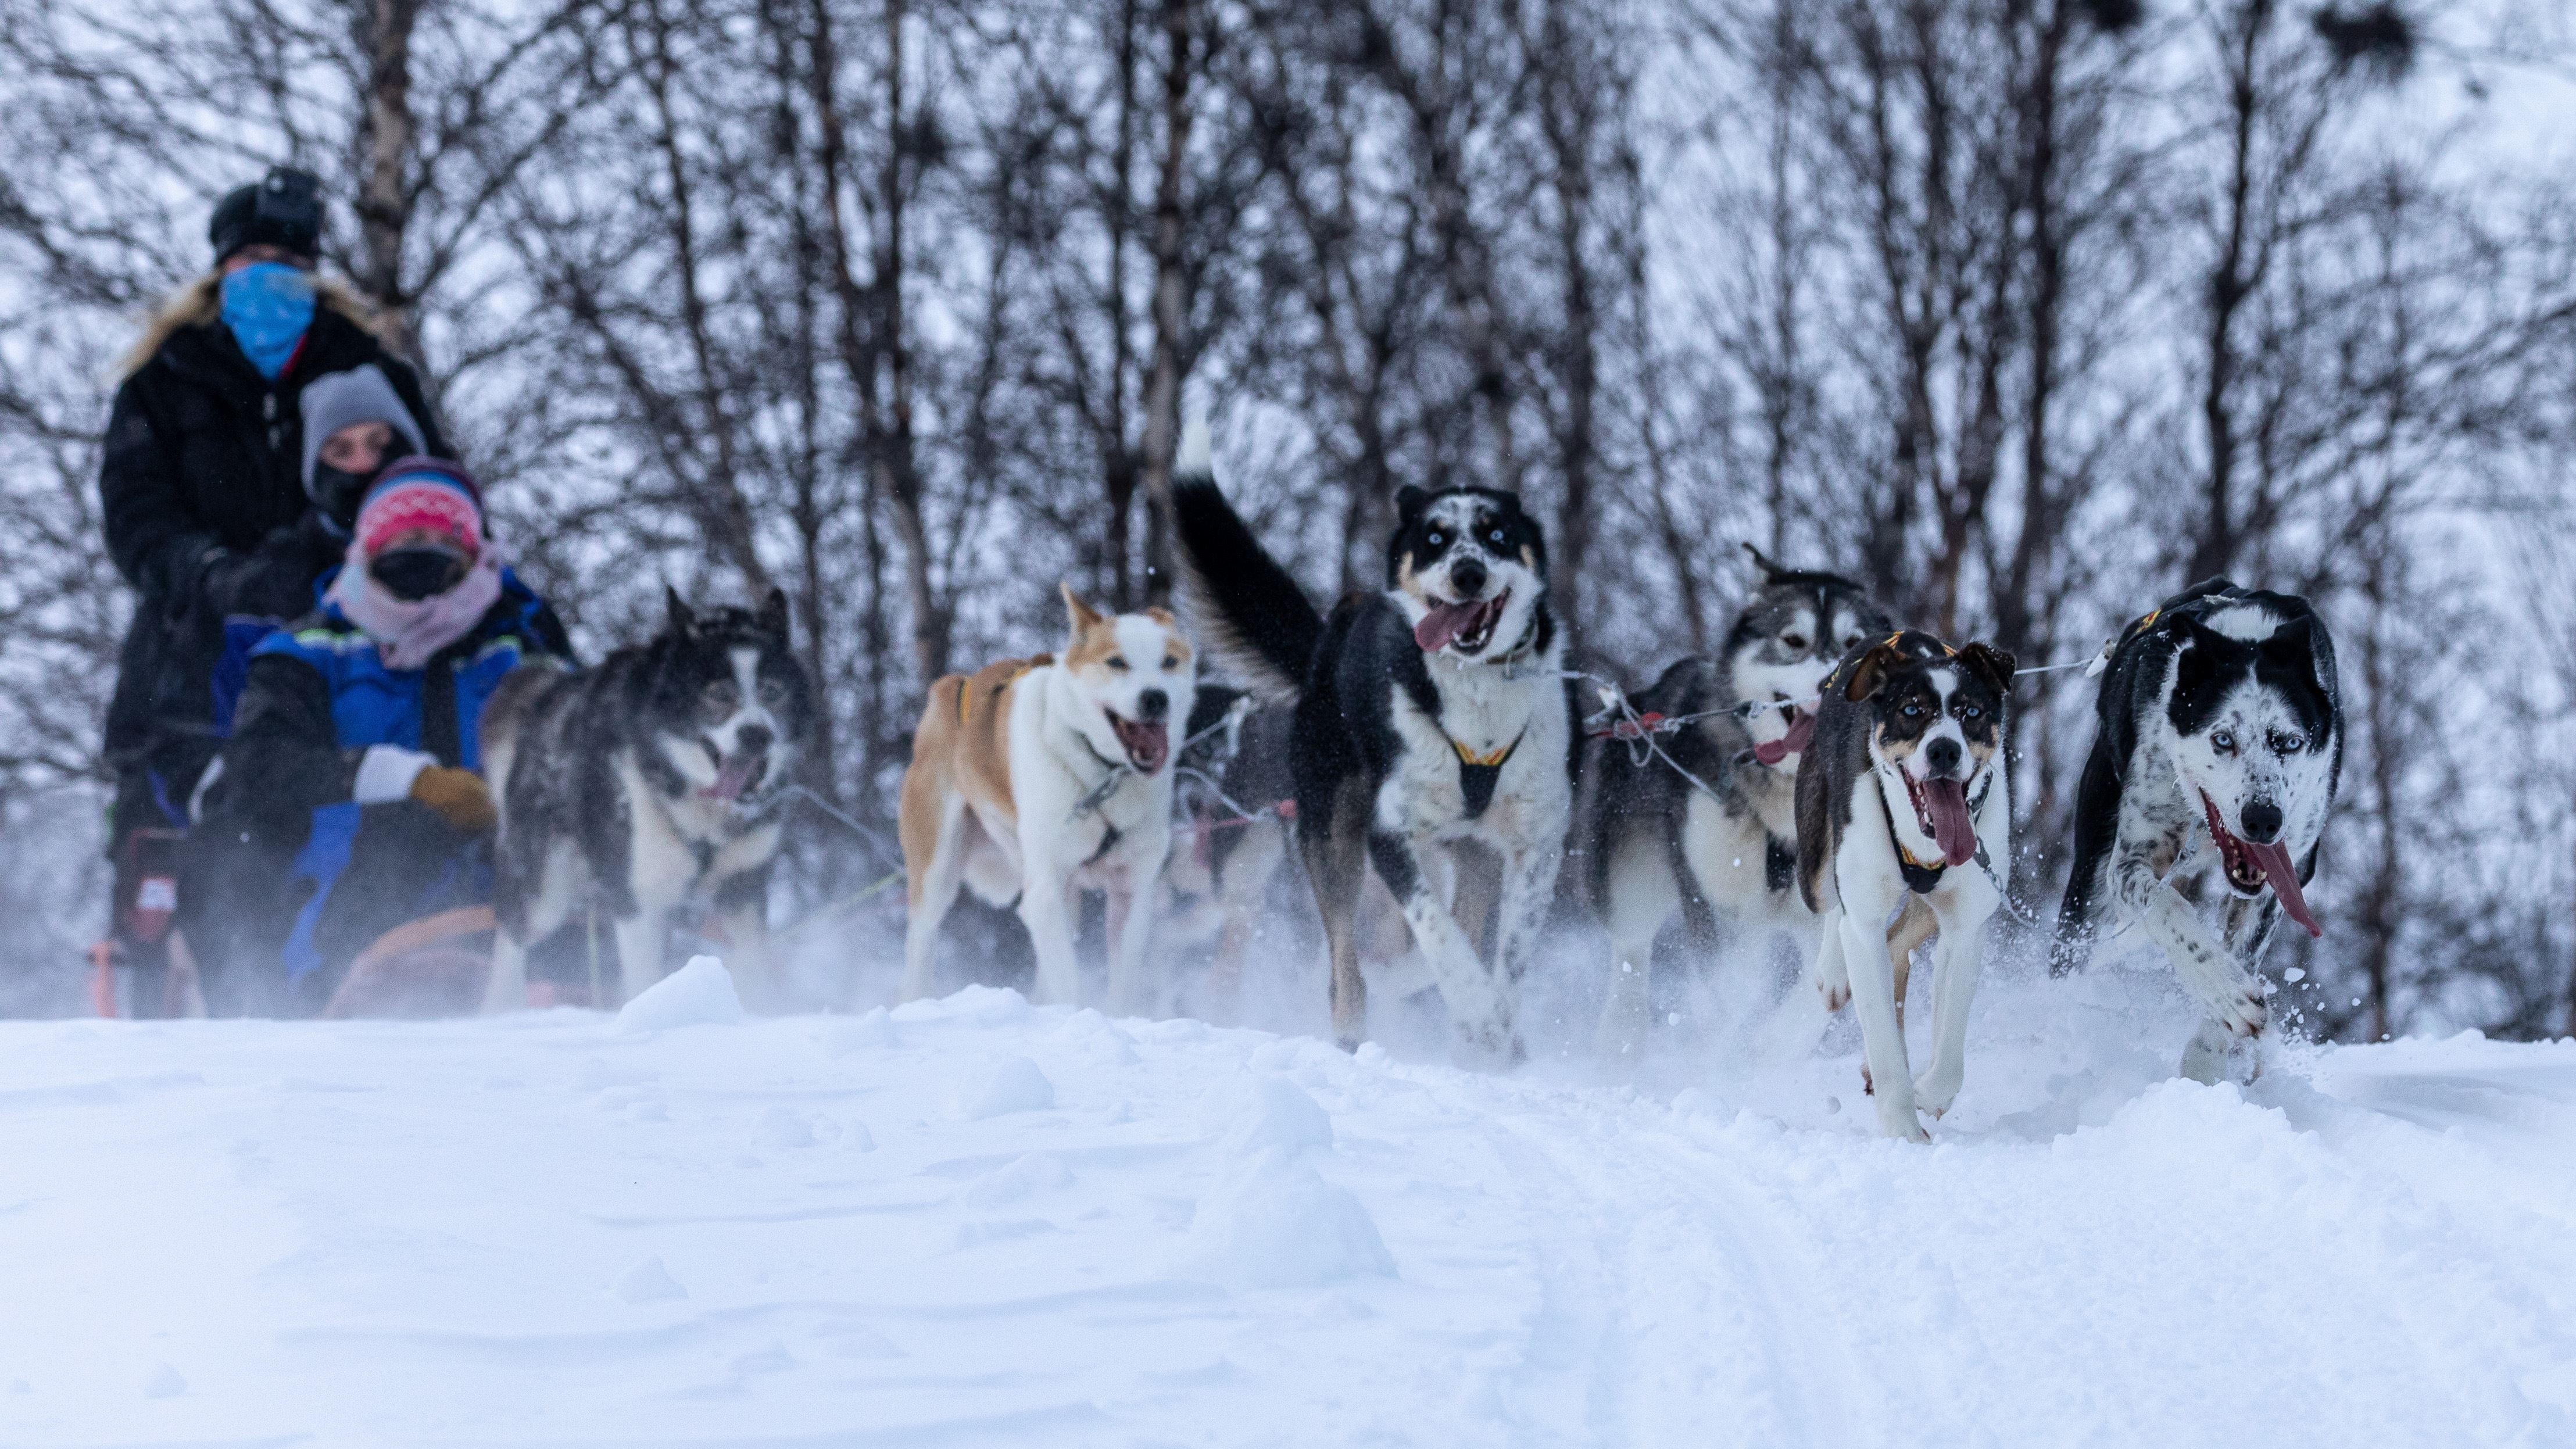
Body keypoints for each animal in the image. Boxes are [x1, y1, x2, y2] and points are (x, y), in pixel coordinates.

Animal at [896, 580, 1195, 1010]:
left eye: (1169, 661)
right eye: (1116, 662)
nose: (1156, 697)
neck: (1102, 774)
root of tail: (953, 686)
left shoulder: (1131, 890)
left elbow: (1122, 980)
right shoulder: (1045, 892)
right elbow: (1068, 981)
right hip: (937, 871)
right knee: (922, 940)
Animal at [1169, 428, 1566, 1062]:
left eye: (1496, 534)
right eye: (1435, 539)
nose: (1468, 573)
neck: (1475, 703)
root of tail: (1332, 635)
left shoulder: (1537, 844)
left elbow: (1504, 954)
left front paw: (1495, 1026)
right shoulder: (1389, 833)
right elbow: (1439, 934)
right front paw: (1478, 1012)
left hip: (1469, 854)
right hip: (1333, 833)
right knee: (1345, 964)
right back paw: (1354, 1026)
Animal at [1566, 546, 1895, 1042]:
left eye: (1855, 642)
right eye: (1793, 640)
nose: (1832, 684)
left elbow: (1815, 993)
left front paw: (1769, 1043)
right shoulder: (1717, 906)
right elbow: (1727, 995)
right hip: (1631, 881)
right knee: (1631, 956)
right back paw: (1622, 1037)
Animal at [1793, 631, 2009, 1139]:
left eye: (1972, 711)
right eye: (1912, 709)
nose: (1945, 750)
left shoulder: (1964, 929)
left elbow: (1949, 1056)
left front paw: (1926, 1092)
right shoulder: (1864, 917)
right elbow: (1885, 1047)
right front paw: (1904, 1132)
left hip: (1928, 908)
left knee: (1896, 946)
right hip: (1817, 864)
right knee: (1833, 905)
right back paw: (1832, 971)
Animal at [2050, 580, 2339, 1078]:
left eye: (2290, 742)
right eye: (2223, 739)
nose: (2264, 819)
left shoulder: (2279, 883)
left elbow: (2243, 955)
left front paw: (2205, 1064)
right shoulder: (2129, 862)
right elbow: (2168, 906)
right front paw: (2226, 990)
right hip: (2089, 879)